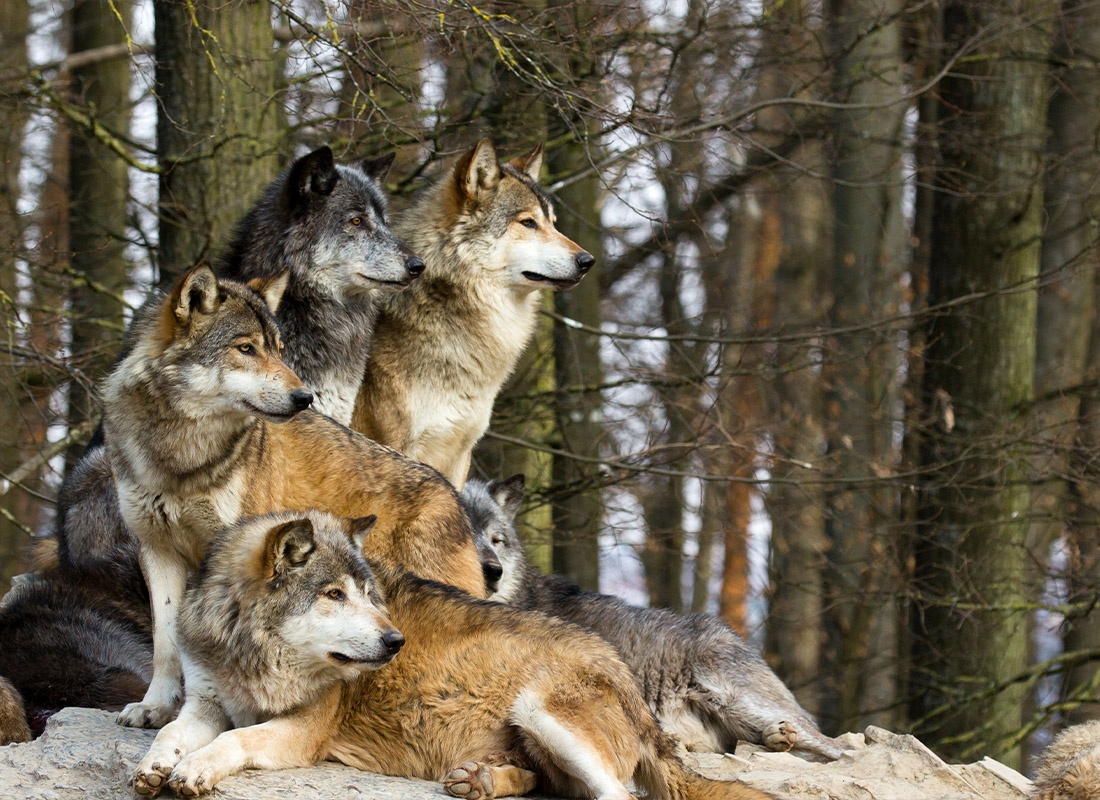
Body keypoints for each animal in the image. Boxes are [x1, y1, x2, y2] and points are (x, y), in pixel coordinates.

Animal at [103, 265, 486, 730]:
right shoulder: (156, 550)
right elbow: (165, 642)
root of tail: (453, 493)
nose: (305, 397)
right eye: (246, 348)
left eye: (279, 350)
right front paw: (155, 707)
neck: (182, 457)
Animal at [133, 510, 774, 800]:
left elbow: (235, 740)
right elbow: (171, 733)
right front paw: (156, 766)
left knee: (616, 796)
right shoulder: (205, 702)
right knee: (550, 786)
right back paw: (481, 780)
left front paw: (193, 770)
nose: (395, 642)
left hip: (541, 710)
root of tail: (630, 682)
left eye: (369, 594)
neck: (251, 654)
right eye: (334, 595)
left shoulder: (303, 731)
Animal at [461, 476, 846, 762]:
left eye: (496, 539)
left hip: (739, 700)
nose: (492, 571)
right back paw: (773, 740)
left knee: (838, 749)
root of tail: (734, 637)